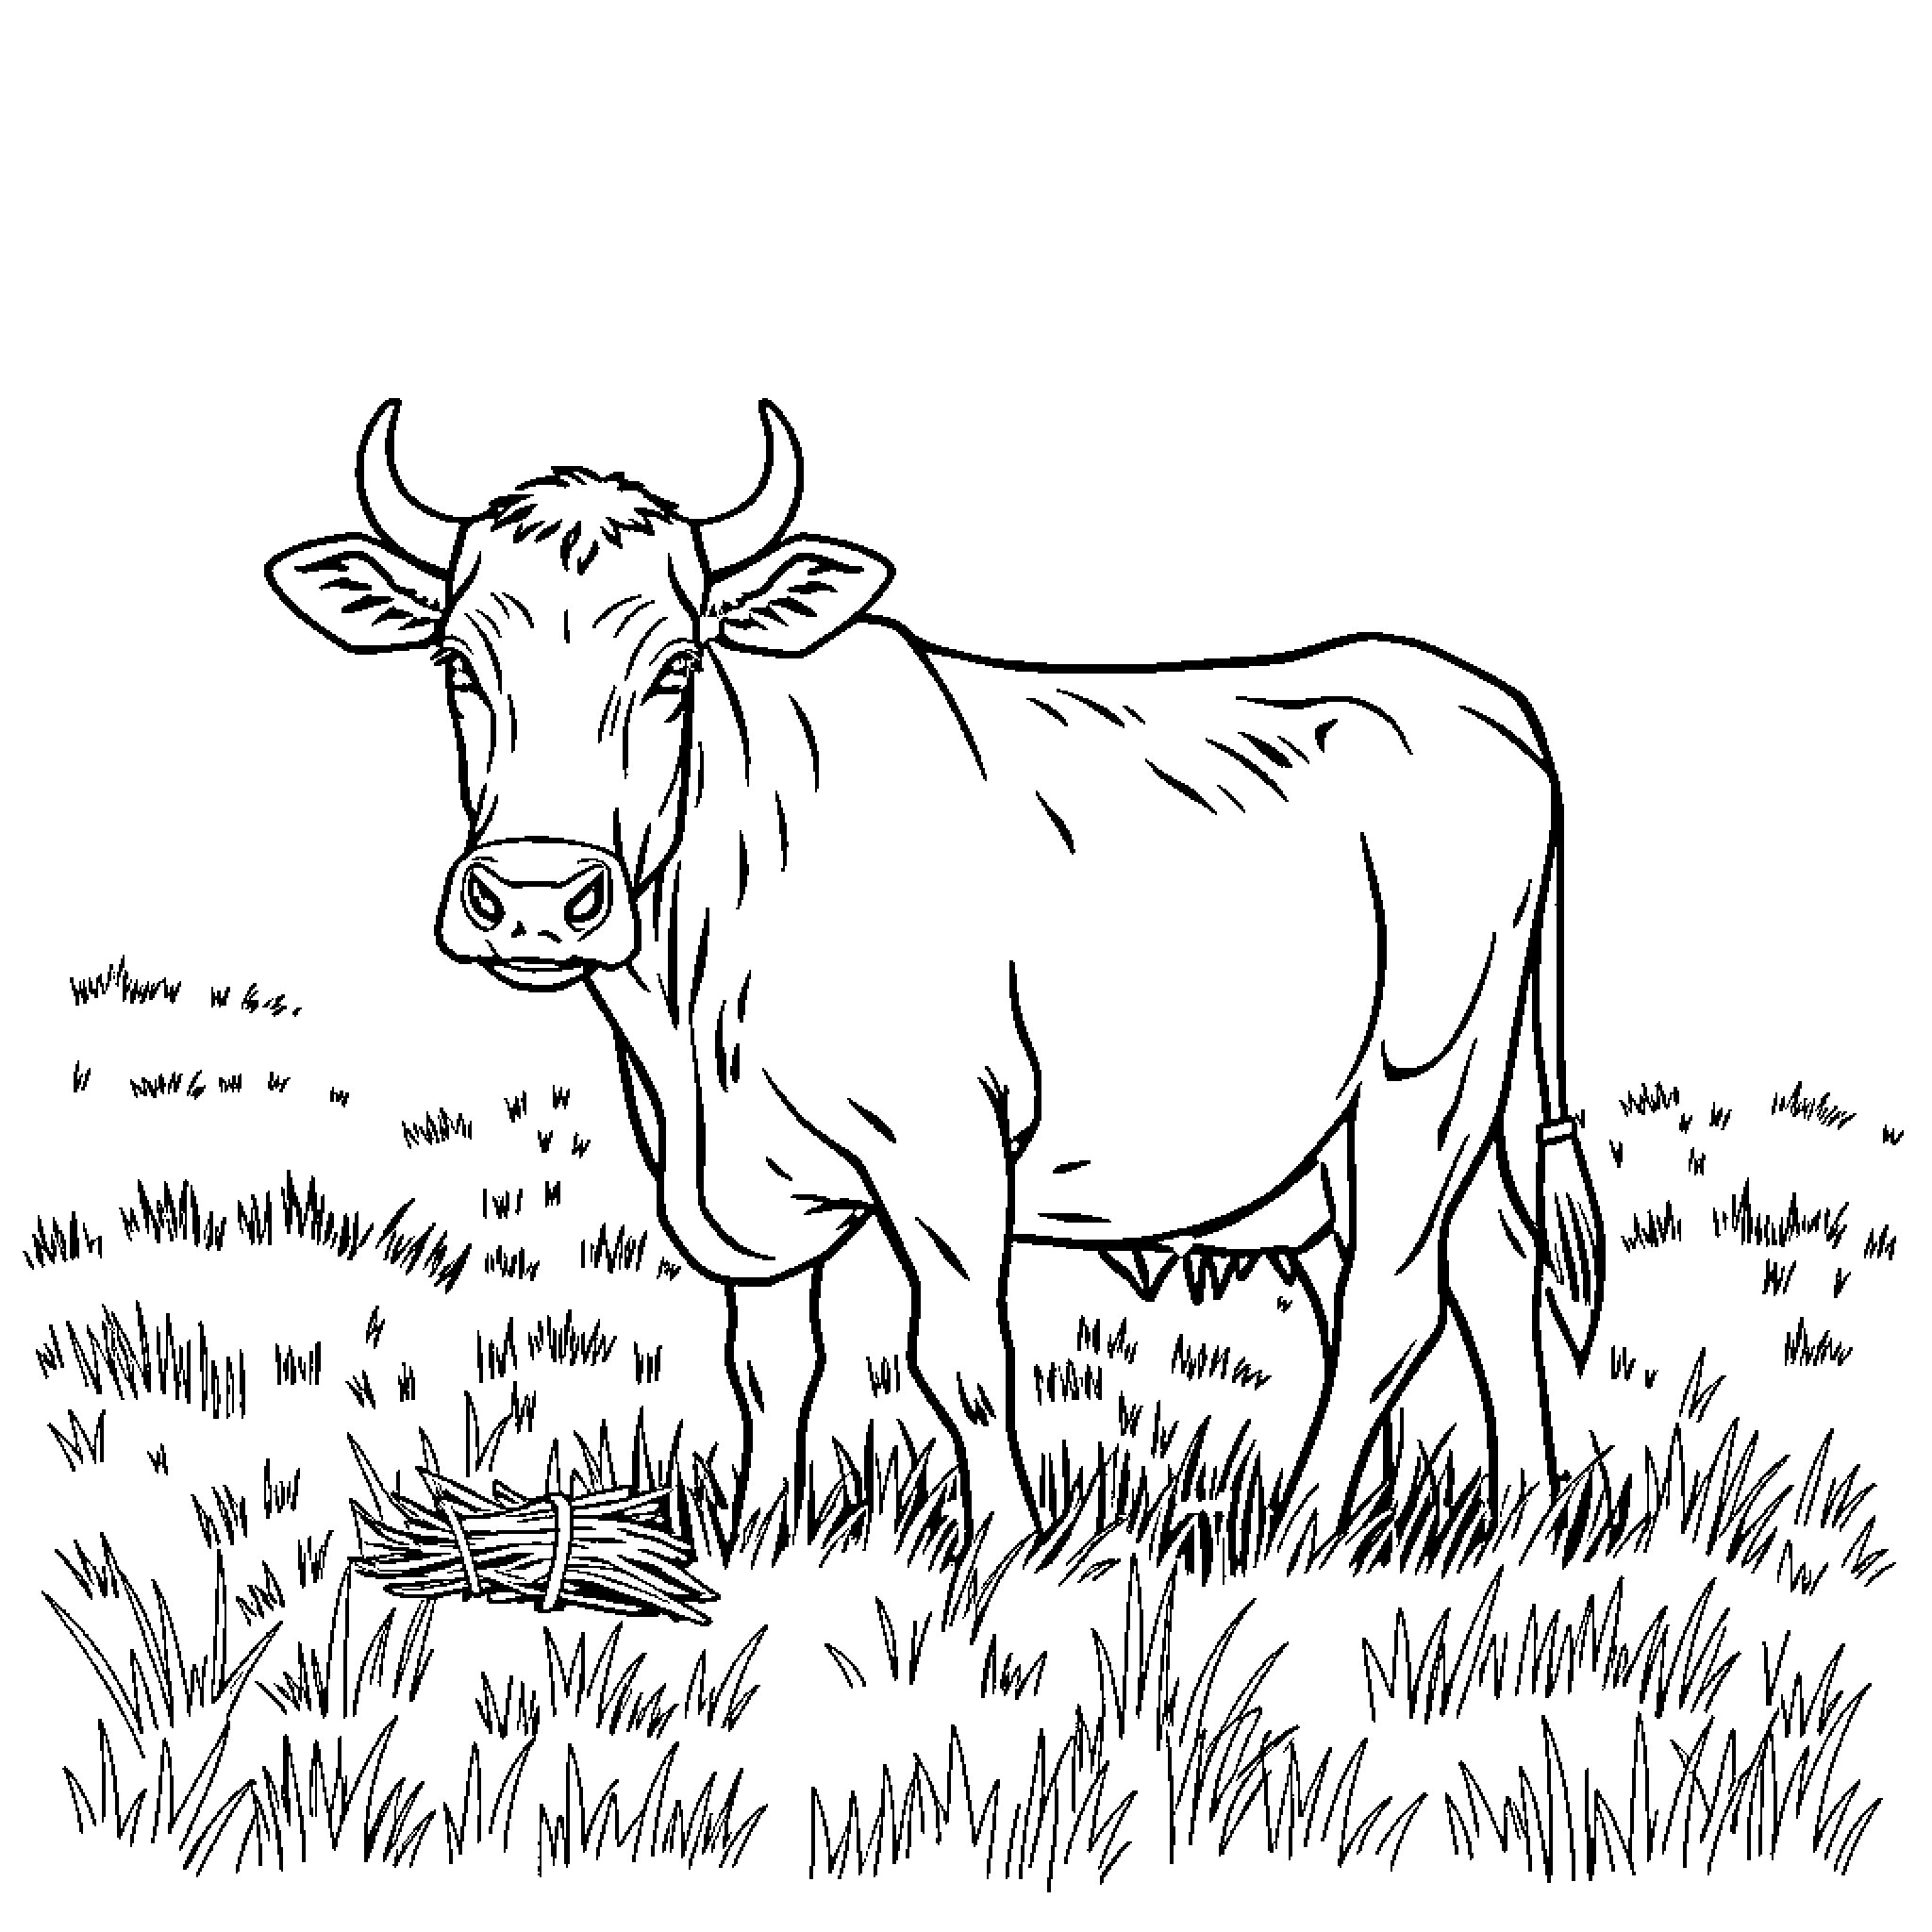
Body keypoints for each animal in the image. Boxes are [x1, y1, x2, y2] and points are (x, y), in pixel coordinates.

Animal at [267, 399, 1606, 1551]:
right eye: (457, 662)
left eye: (674, 668)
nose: (540, 897)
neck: (690, 1023)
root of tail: (1475, 696)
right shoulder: (748, 1193)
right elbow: (770, 1366)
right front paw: (760, 1536)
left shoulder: (947, 1143)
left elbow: (959, 1360)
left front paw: (1007, 1552)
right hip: (1390, 1125)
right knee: (1494, 1270)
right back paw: (1527, 1518)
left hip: (1419, 1079)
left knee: (1393, 1303)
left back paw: (1300, 1523)